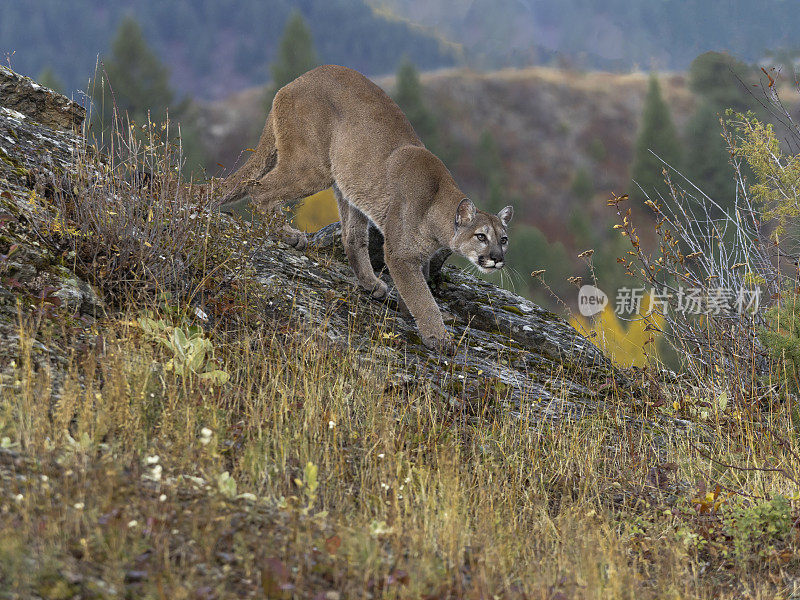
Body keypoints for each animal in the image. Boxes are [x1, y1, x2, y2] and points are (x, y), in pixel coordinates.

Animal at [220, 65, 512, 352]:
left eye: (504, 239)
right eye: (481, 236)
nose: (497, 258)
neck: (436, 206)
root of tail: (294, 81)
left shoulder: (418, 257)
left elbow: (419, 286)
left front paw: (408, 312)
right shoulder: (400, 254)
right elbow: (422, 296)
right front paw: (438, 338)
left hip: (350, 188)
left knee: (352, 237)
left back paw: (371, 284)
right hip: (314, 166)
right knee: (260, 189)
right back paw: (287, 234)